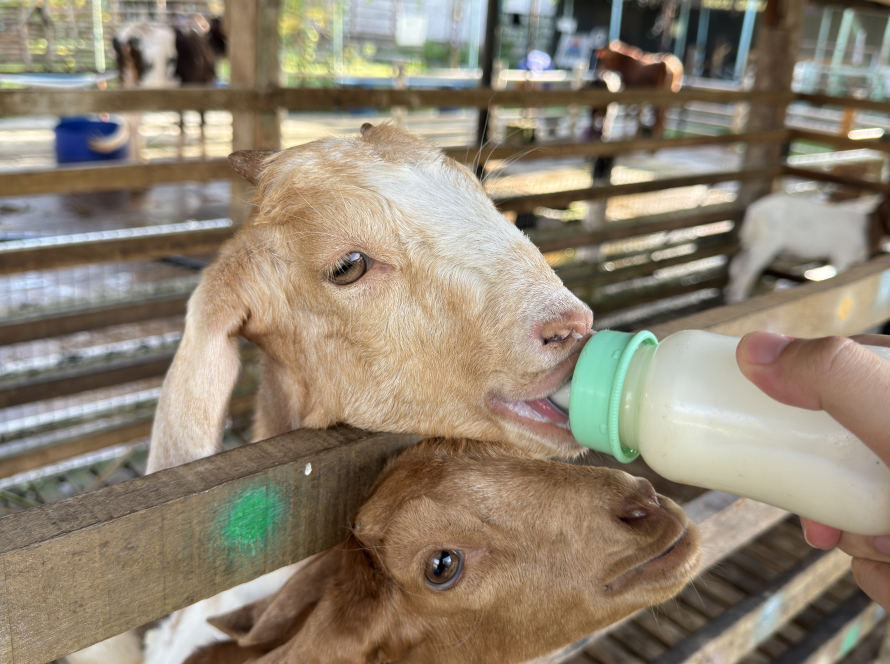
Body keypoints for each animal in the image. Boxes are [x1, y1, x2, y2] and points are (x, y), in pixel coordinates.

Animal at [725, 192, 890, 303]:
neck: (865, 227)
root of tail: (754, 211)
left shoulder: (858, 260)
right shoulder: (842, 255)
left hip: (753, 243)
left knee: (737, 265)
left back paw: (732, 297)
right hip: (766, 243)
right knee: (748, 269)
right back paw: (738, 298)